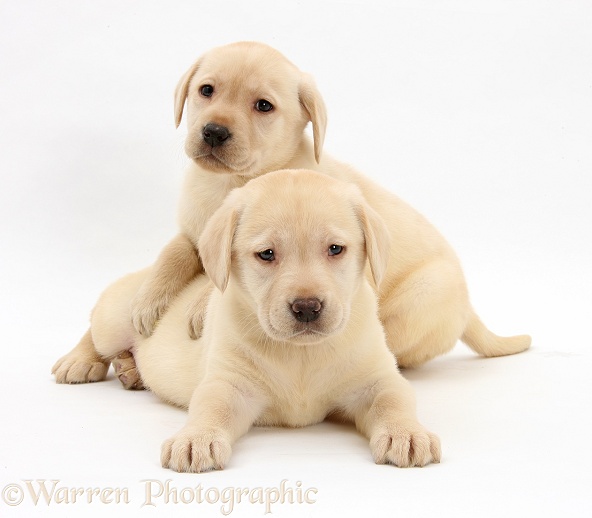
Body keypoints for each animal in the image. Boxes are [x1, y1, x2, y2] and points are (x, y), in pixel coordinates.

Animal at [53, 42, 528, 388]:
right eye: (206, 91)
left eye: (263, 106)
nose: (213, 131)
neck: (229, 183)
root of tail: (469, 311)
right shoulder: (193, 232)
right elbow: (172, 255)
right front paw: (148, 301)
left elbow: (216, 280)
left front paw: (200, 309)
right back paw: (84, 358)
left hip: (419, 300)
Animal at [70, 172, 440, 476]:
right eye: (266, 254)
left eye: (336, 249)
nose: (307, 308)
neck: (301, 354)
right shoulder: (230, 383)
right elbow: (211, 407)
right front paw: (196, 438)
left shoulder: (375, 379)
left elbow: (393, 400)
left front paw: (406, 433)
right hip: (114, 318)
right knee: (94, 331)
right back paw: (79, 361)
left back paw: (129, 370)